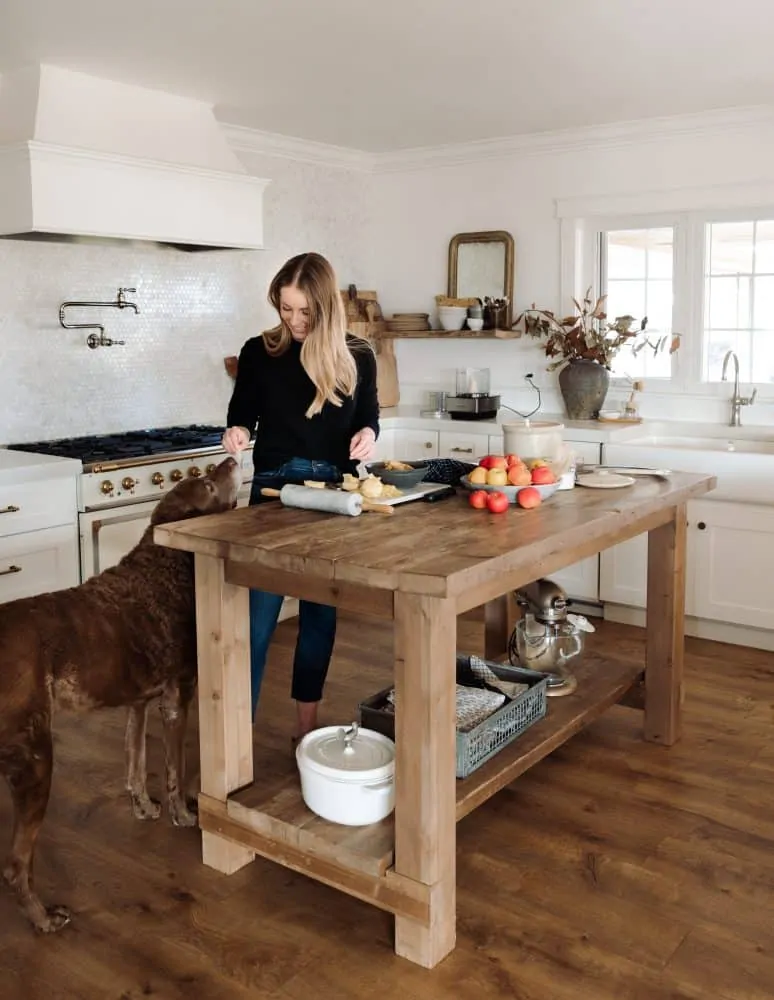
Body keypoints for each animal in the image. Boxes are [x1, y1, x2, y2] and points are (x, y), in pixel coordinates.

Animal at [0, 458, 242, 932]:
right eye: (208, 483)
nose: (230, 457)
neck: (165, 564)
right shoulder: (176, 697)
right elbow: (172, 769)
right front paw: (183, 815)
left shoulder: (138, 702)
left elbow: (135, 763)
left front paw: (144, 808)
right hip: (35, 756)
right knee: (16, 865)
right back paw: (44, 919)